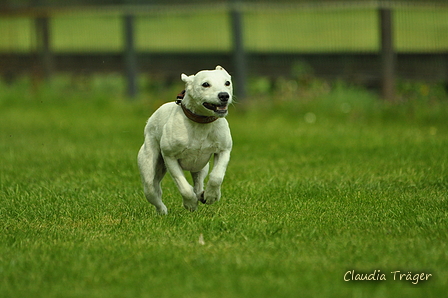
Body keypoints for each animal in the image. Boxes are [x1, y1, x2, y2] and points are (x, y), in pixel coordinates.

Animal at [138, 65, 233, 214]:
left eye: (227, 83)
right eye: (205, 84)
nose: (224, 95)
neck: (201, 122)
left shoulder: (224, 150)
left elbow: (216, 177)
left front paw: (211, 196)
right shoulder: (170, 157)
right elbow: (183, 186)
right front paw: (191, 204)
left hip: (201, 167)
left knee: (198, 182)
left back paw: (201, 194)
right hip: (149, 166)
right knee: (153, 191)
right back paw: (162, 211)